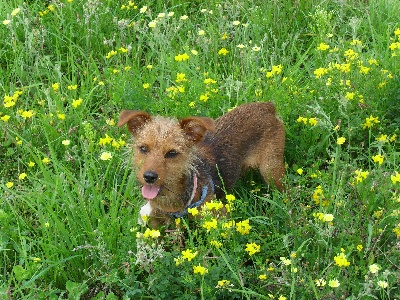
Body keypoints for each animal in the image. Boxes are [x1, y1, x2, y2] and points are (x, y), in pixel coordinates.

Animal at [117, 102, 286, 226]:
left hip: (272, 171)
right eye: (143, 148)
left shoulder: (220, 217)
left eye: (172, 153)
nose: (149, 177)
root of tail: (267, 107)